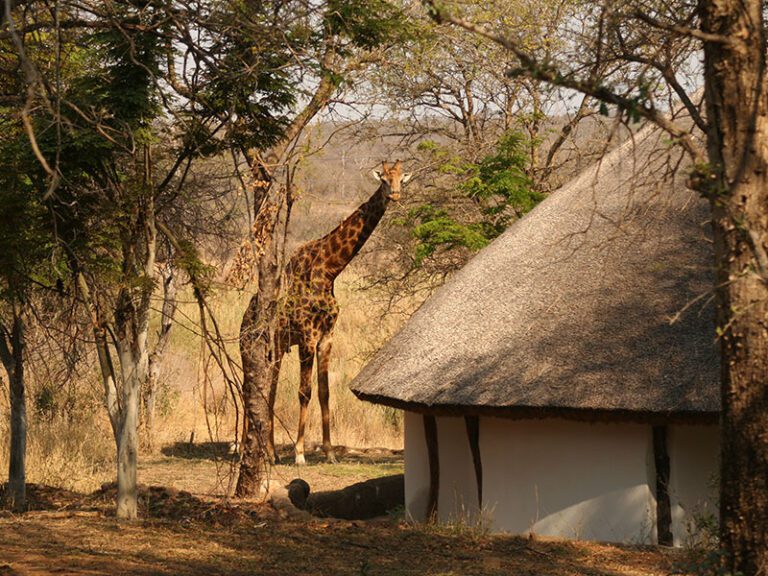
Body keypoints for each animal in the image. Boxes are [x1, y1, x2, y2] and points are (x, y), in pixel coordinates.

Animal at [272, 160, 411, 465]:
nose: (395, 196)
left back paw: (267, 451)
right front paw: (299, 454)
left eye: (401, 179)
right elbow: (304, 392)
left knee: (267, 386)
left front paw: (329, 453)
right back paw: (245, 448)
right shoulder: (308, 335)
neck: (328, 271)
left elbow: (324, 392)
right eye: (383, 179)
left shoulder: (326, 336)